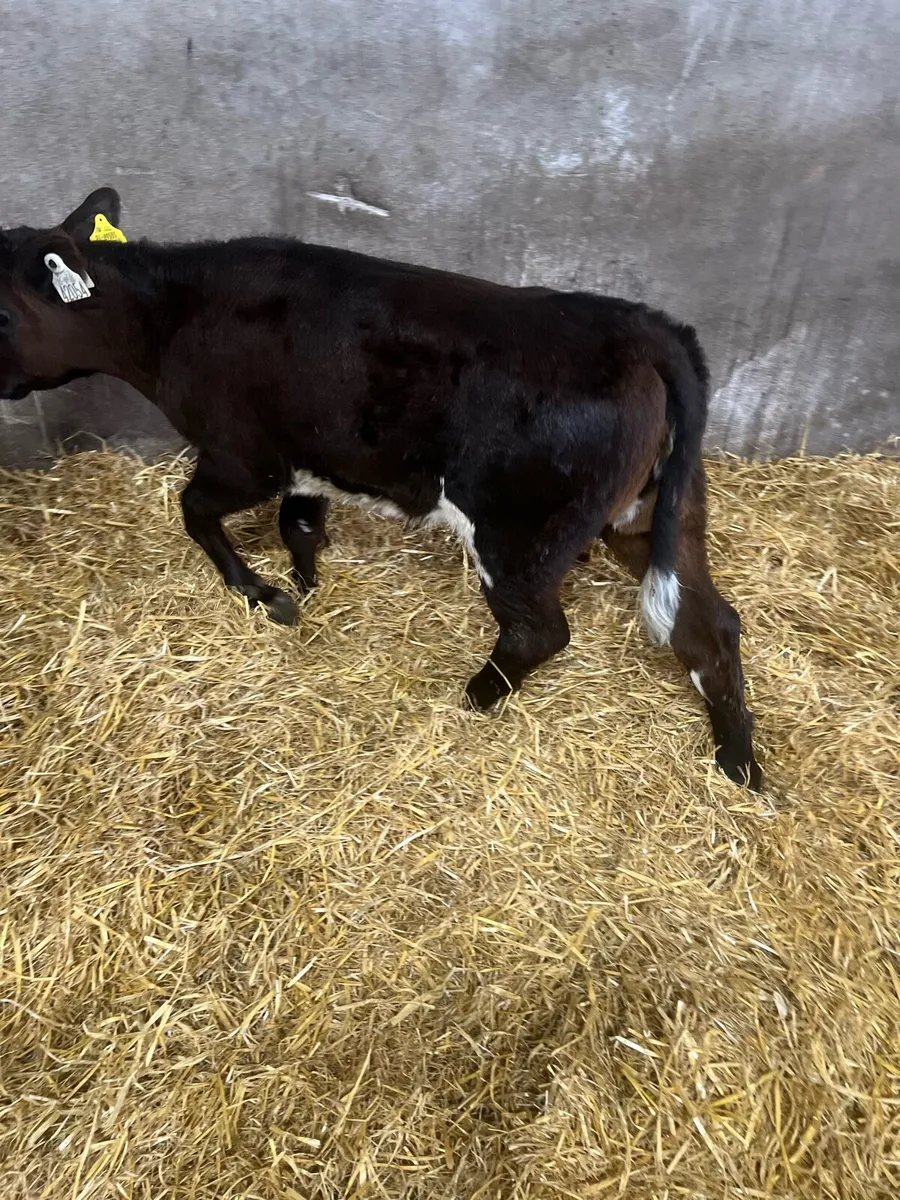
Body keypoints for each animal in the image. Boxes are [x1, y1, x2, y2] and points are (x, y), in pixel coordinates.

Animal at [0, 188, 762, 787]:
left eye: (2, 314)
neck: (174, 320)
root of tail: (643, 329)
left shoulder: (245, 458)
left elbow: (195, 514)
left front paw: (265, 595)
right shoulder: (312, 459)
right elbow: (299, 523)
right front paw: (305, 583)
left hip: (521, 536)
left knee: (540, 630)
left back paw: (474, 698)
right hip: (653, 514)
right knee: (708, 623)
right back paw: (738, 762)